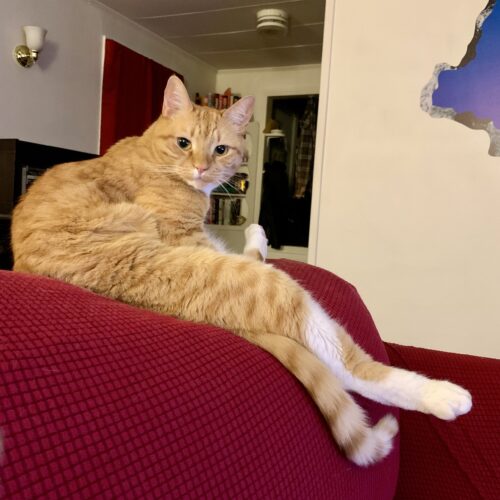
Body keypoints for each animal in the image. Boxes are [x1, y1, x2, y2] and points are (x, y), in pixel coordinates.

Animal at [11, 74, 472, 464]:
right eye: (184, 143)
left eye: (220, 150)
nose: (201, 168)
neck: (154, 153)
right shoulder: (189, 240)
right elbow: (250, 255)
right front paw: (258, 234)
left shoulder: (205, 239)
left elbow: (247, 245)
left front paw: (258, 233)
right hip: (271, 288)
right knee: (346, 366)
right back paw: (442, 396)